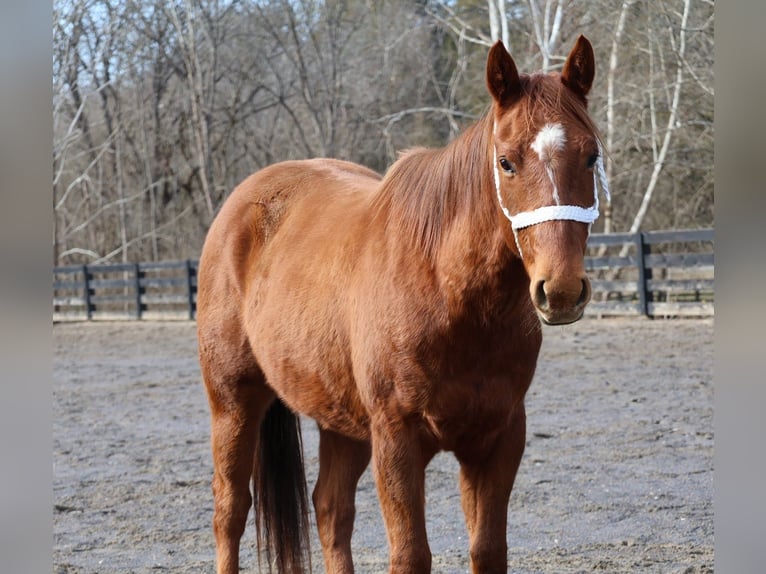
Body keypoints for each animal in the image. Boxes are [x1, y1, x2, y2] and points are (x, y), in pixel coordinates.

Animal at [197, 35, 609, 574]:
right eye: (506, 161)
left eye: (591, 156)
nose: (559, 290)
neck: (450, 295)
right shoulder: (397, 440)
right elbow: (411, 554)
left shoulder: (497, 439)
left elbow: (488, 550)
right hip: (233, 402)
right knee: (231, 509)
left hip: (341, 421)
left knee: (330, 510)